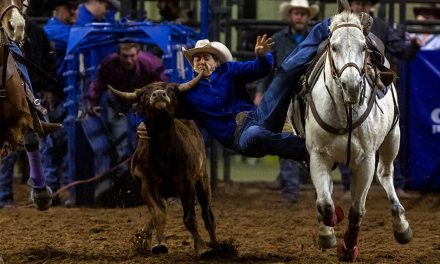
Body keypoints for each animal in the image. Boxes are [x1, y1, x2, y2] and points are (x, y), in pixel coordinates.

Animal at [306, 11, 412, 260]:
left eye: (363, 47)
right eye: (334, 47)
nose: (352, 86)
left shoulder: (365, 161)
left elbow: (357, 211)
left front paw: (348, 249)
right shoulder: (318, 155)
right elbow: (325, 204)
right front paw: (327, 233)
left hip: (393, 138)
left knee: (385, 174)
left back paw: (401, 225)